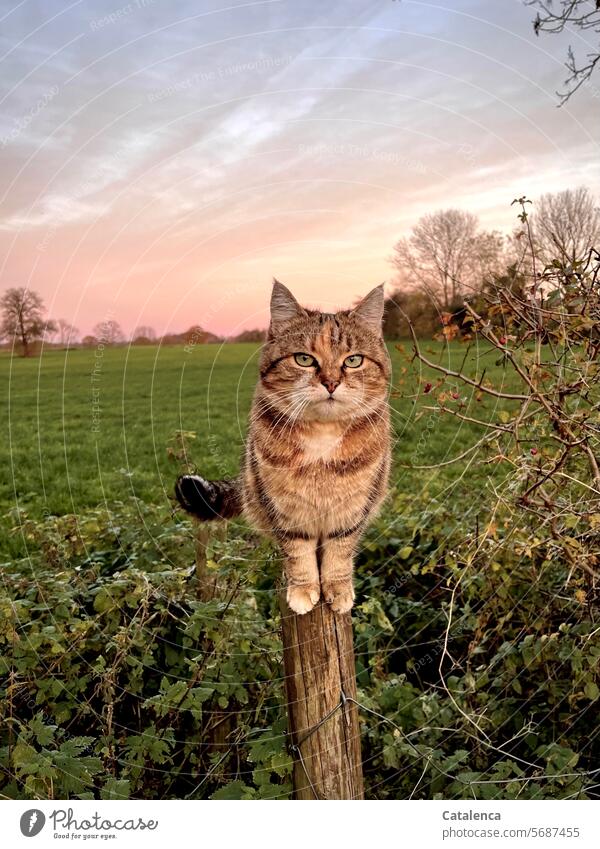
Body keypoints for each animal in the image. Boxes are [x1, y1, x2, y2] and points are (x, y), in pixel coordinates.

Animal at [173, 282, 392, 612]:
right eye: (304, 359)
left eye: (353, 360)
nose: (331, 383)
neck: (322, 439)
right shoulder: (284, 508)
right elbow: (297, 551)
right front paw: (303, 590)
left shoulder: (352, 509)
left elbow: (339, 551)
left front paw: (337, 589)